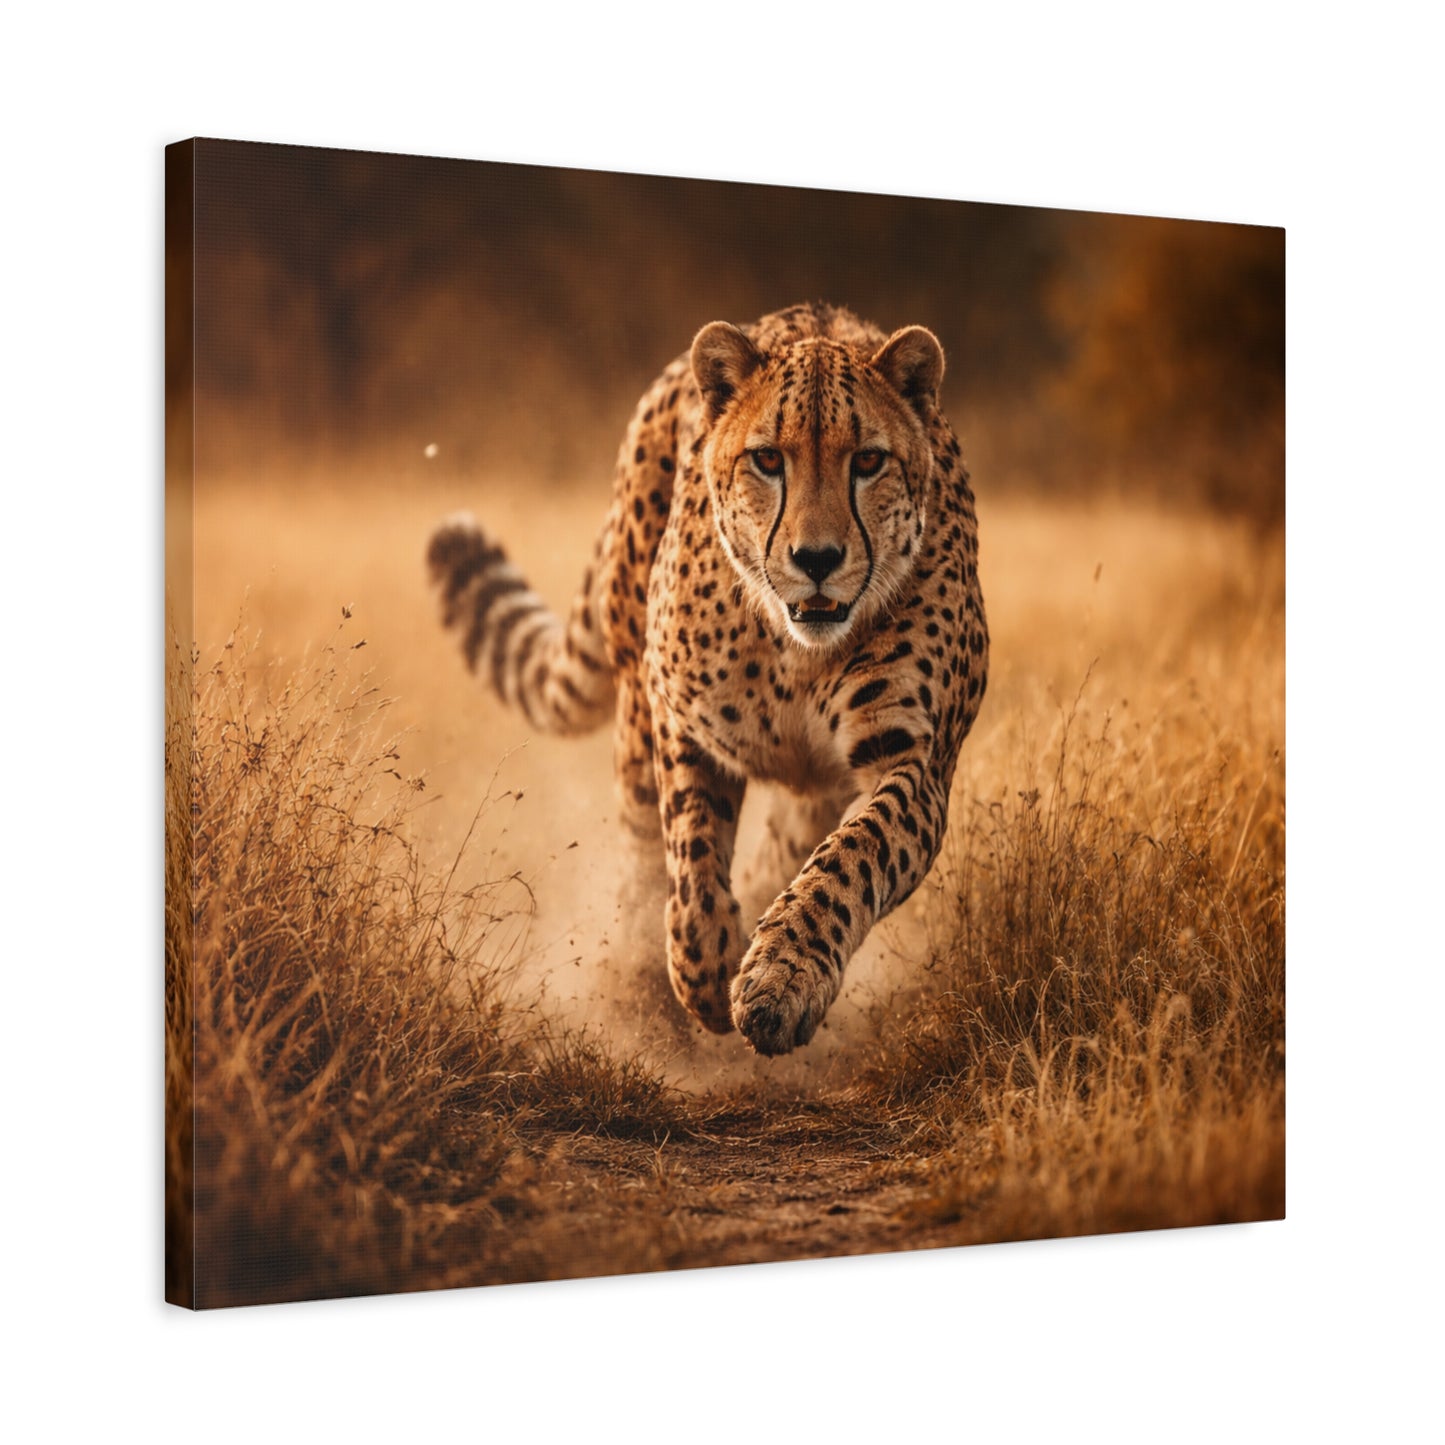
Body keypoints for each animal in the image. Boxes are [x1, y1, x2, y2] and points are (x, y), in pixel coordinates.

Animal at [427, 302, 988, 1056]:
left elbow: (850, 857)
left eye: (868, 461)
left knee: (785, 847)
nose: (816, 559)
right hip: (634, 706)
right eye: (767, 459)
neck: (798, 649)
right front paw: (707, 971)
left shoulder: (912, 760)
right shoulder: (682, 722)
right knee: (640, 851)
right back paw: (637, 981)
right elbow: (689, 855)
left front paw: (780, 974)